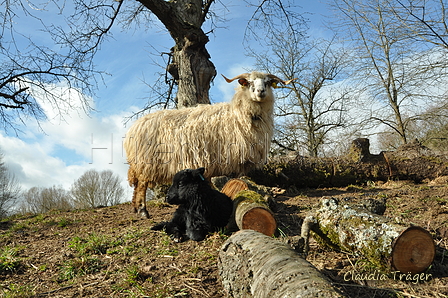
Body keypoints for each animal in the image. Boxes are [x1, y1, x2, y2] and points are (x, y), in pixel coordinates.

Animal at [124, 71, 296, 218]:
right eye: (249, 82)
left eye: (267, 82)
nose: (261, 92)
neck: (240, 115)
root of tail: (134, 127)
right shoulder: (230, 158)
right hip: (146, 162)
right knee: (142, 185)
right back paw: (143, 211)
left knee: (137, 186)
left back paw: (136, 208)